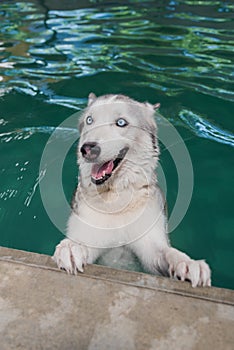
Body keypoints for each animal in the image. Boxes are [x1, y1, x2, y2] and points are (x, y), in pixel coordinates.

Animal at [53, 93, 212, 288]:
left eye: (121, 122)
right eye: (90, 120)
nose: (87, 149)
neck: (116, 201)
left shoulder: (151, 247)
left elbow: (167, 253)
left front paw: (188, 263)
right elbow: (81, 243)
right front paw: (71, 248)